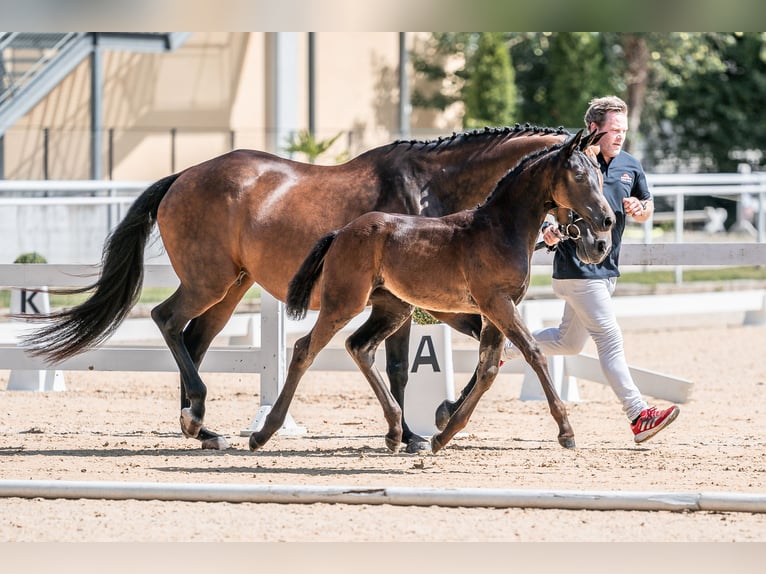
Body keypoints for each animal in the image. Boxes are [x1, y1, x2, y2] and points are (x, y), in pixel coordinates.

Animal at [18, 122, 572, 454]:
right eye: (586, 170)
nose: (584, 233)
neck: (431, 189)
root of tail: (181, 177)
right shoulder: (419, 303)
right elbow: (404, 367)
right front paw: (422, 428)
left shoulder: (435, 303)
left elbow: (475, 350)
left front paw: (434, 419)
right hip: (208, 280)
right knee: (168, 321)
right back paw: (197, 416)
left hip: (233, 288)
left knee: (194, 339)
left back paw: (201, 426)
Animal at [252, 130, 616, 454]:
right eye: (579, 176)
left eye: (600, 175)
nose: (606, 224)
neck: (499, 229)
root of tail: (341, 232)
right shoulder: (497, 304)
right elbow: (533, 353)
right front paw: (566, 432)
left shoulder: (494, 311)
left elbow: (488, 368)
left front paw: (443, 433)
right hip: (344, 303)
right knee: (305, 349)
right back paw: (264, 432)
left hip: (392, 308)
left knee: (360, 347)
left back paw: (396, 432)